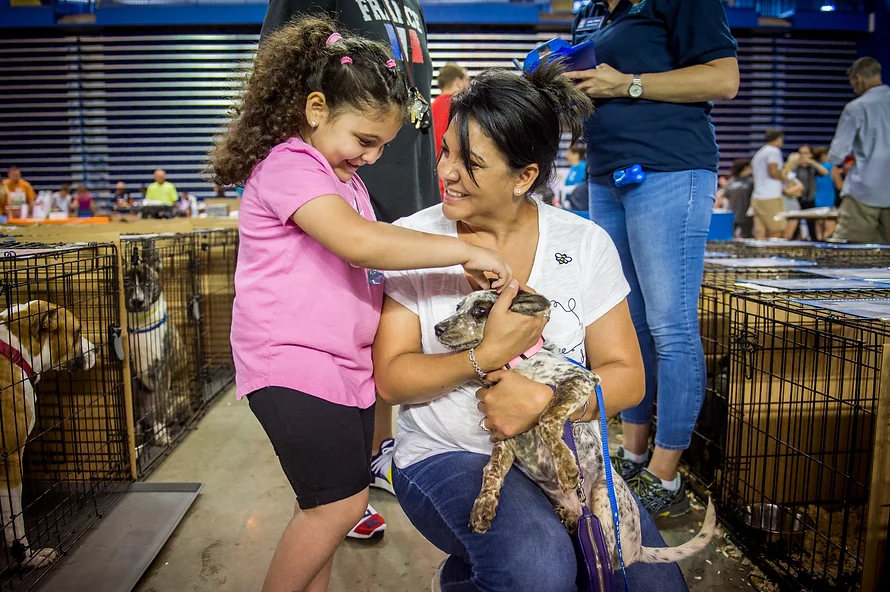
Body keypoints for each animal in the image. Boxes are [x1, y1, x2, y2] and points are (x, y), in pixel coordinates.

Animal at [0, 300, 95, 568]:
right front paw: (27, 557)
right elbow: (14, 518)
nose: (96, 349)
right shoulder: (9, 460)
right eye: (77, 331)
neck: (15, 350)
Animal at [434, 292, 720, 568]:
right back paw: (566, 517)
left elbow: (546, 418)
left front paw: (566, 466)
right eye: (458, 307)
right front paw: (482, 507)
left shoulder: (581, 380)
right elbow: (490, 472)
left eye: (480, 310)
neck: (515, 365)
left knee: (608, 554)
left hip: (604, 494)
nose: (438, 328)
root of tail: (638, 549)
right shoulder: (504, 439)